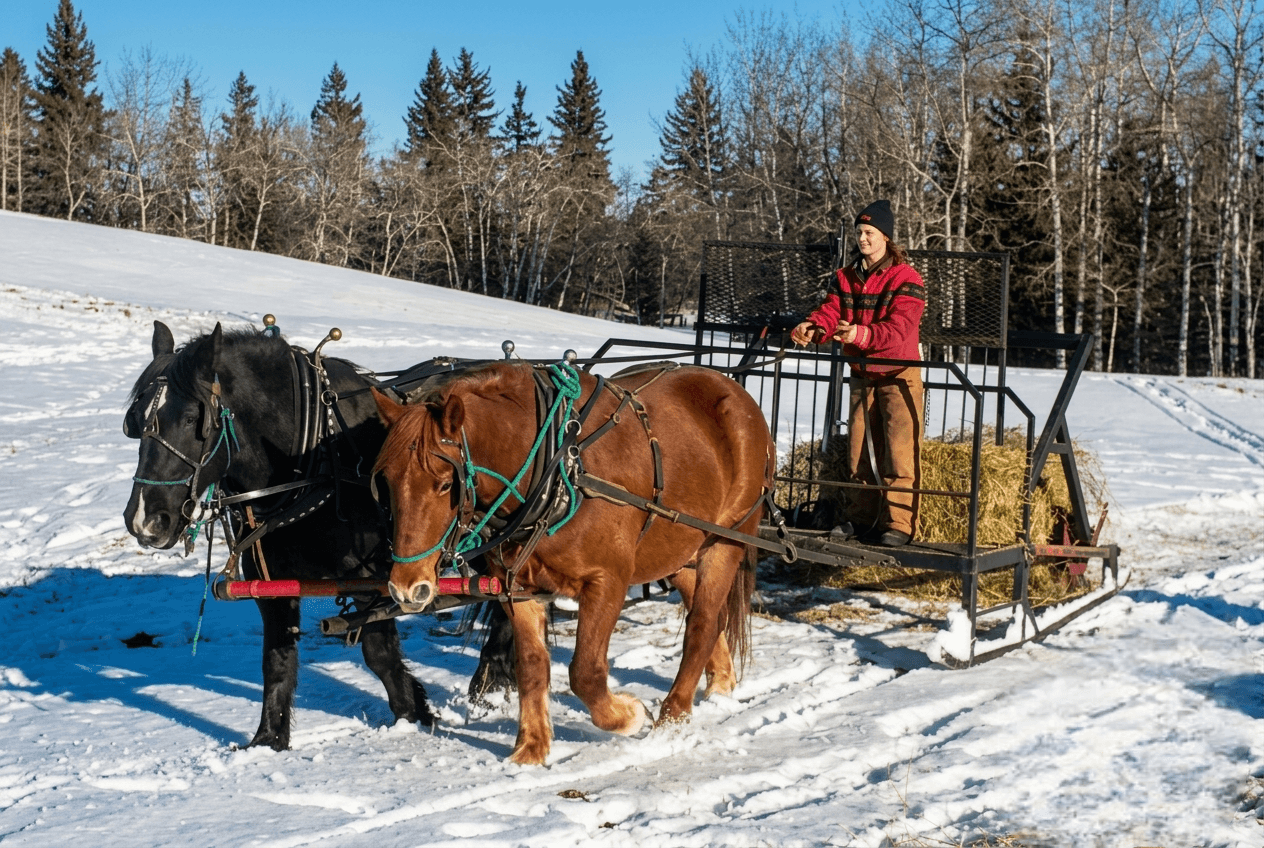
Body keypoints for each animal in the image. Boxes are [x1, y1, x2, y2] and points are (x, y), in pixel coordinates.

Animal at [122, 320, 512, 749]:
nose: (143, 521)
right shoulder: (271, 582)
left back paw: (491, 680)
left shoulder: (375, 579)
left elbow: (379, 653)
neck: (317, 459)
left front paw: (413, 714)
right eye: (135, 421)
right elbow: (276, 657)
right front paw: (269, 739)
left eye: (194, 418)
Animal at [371, 359, 774, 765]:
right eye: (386, 481)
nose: (405, 587)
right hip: (677, 552)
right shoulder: (517, 588)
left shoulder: (607, 581)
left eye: (444, 484)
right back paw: (720, 684)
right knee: (711, 617)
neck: (556, 468)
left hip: (726, 540)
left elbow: (586, 672)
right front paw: (531, 749)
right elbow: (532, 665)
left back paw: (671, 719)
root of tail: (735, 392)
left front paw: (630, 715)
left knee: (702, 624)